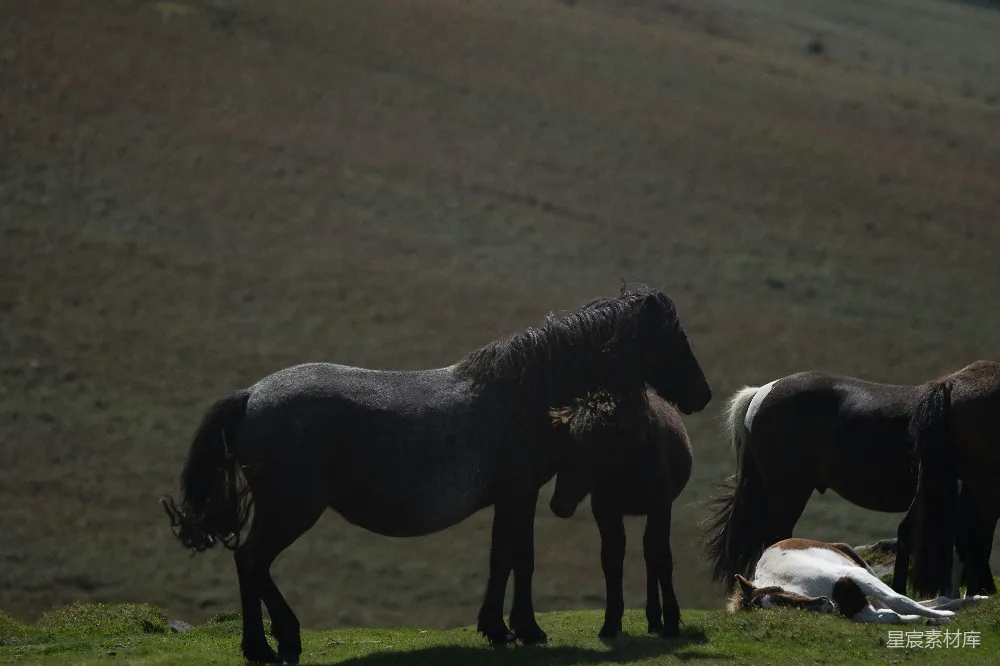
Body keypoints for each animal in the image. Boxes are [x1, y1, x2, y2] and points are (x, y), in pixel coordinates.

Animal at [549, 387, 693, 639]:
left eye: (588, 454)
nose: (559, 505)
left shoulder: (660, 508)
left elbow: (662, 557)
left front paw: (672, 622)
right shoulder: (606, 511)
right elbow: (612, 558)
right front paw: (610, 623)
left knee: (651, 555)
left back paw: (656, 620)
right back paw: (653, 619)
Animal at [730, 538, 985, 624]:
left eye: (782, 594)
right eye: (783, 609)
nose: (826, 604)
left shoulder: (857, 576)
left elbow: (900, 601)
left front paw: (946, 616)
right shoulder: (861, 610)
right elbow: (892, 615)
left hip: (863, 569)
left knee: (903, 598)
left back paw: (971, 600)